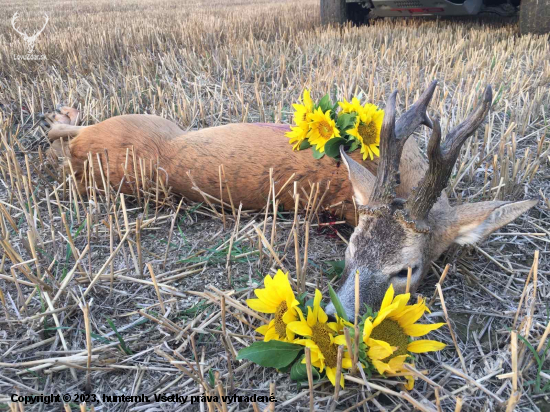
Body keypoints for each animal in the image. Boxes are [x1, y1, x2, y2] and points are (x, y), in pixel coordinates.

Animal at [47, 81, 540, 318]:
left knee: (58, 135)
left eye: (407, 271)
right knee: (59, 130)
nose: (338, 314)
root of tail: (82, 156)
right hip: (147, 119)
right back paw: (64, 111)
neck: (408, 173)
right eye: (350, 251)